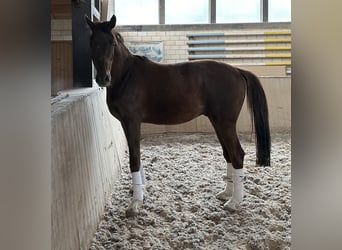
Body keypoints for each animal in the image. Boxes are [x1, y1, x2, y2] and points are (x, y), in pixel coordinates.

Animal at [85, 15, 270, 217]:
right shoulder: (127, 124)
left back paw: (234, 202)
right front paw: (139, 191)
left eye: (111, 43)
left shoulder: (132, 121)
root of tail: (237, 71)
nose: (103, 79)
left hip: (225, 123)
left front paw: (135, 203)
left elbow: (134, 159)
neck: (127, 75)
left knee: (237, 154)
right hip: (218, 122)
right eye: (92, 41)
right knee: (228, 153)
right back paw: (226, 193)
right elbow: (136, 155)